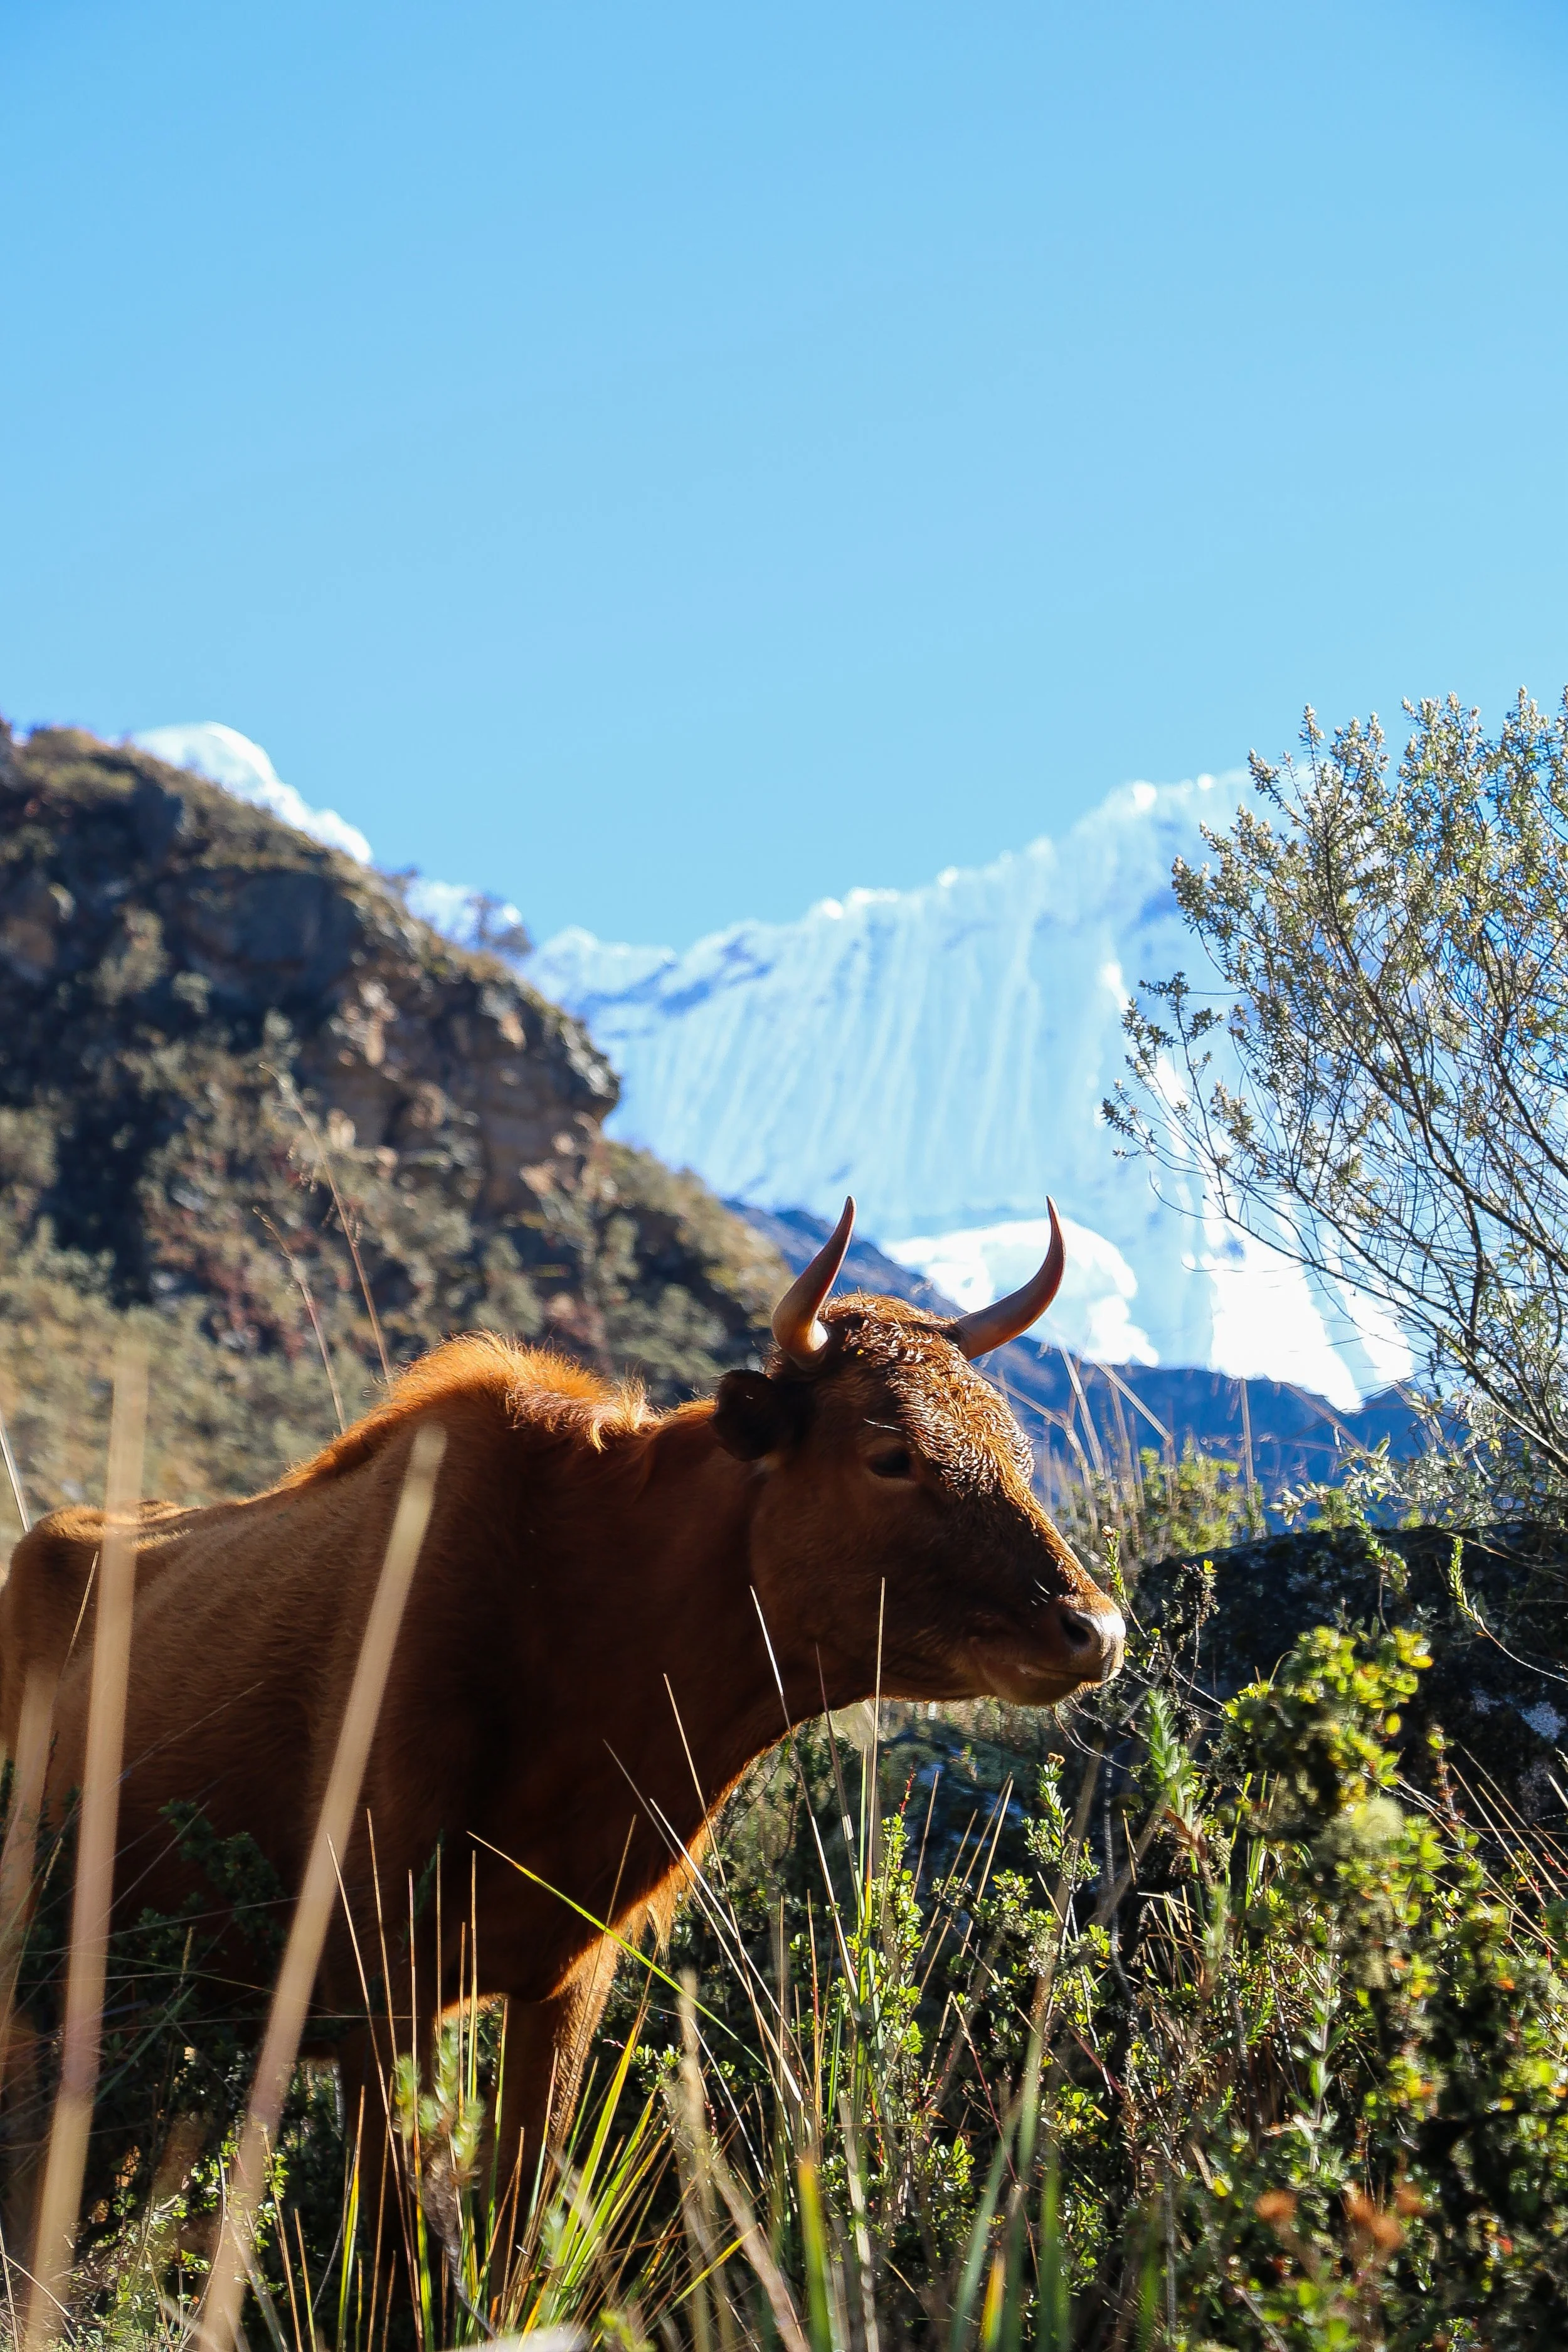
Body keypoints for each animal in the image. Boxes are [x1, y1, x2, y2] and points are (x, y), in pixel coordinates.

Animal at [0, 1197, 1121, 2231]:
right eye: (891, 1453)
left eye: (1015, 1449)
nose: (1096, 1626)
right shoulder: (381, 1974)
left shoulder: (568, 1972)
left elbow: (516, 2235)